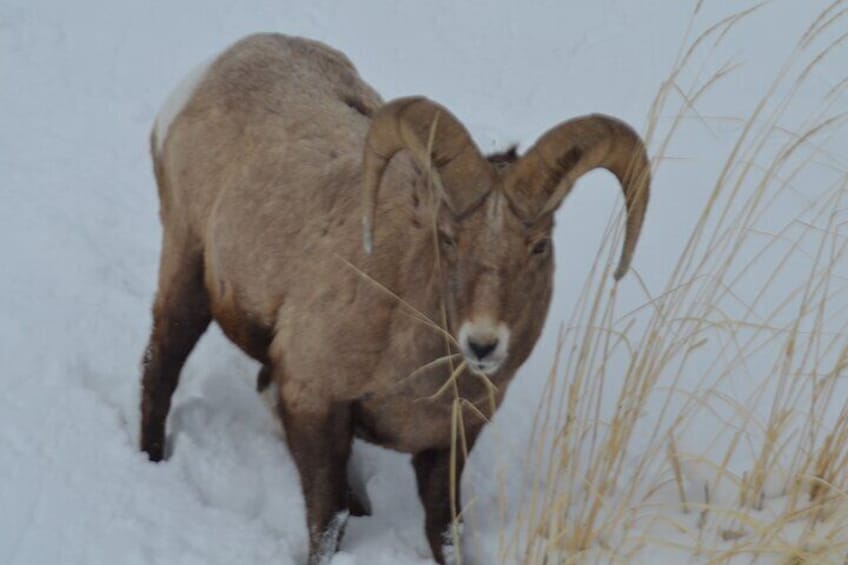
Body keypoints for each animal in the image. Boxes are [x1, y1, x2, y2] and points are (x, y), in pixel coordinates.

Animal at [142, 34, 652, 564]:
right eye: (447, 238)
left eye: (539, 245)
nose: (483, 344)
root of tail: (210, 71)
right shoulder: (315, 405)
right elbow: (328, 523)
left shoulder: (449, 445)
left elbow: (443, 531)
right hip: (186, 271)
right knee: (161, 368)